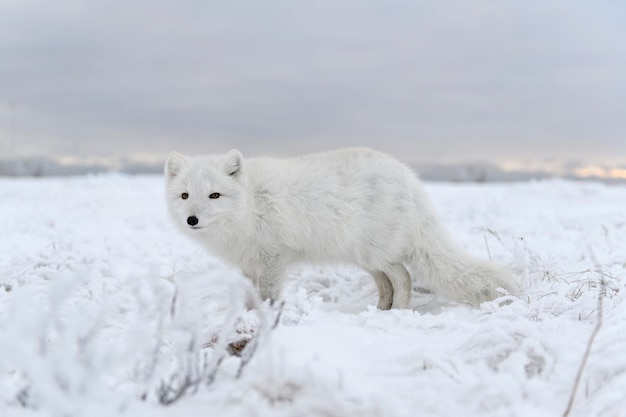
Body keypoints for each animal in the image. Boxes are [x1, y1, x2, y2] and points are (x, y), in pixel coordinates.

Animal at [163, 148, 516, 308]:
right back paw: (381, 311)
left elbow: (268, 295)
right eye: (185, 196)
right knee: (387, 283)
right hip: (365, 258)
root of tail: (410, 180)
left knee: (403, 277)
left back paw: (400, 312)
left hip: (376, 253)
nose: (192, 220)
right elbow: (252, 296)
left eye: (214, 195)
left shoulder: (273, 258)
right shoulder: (249, 263)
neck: (249, 206)